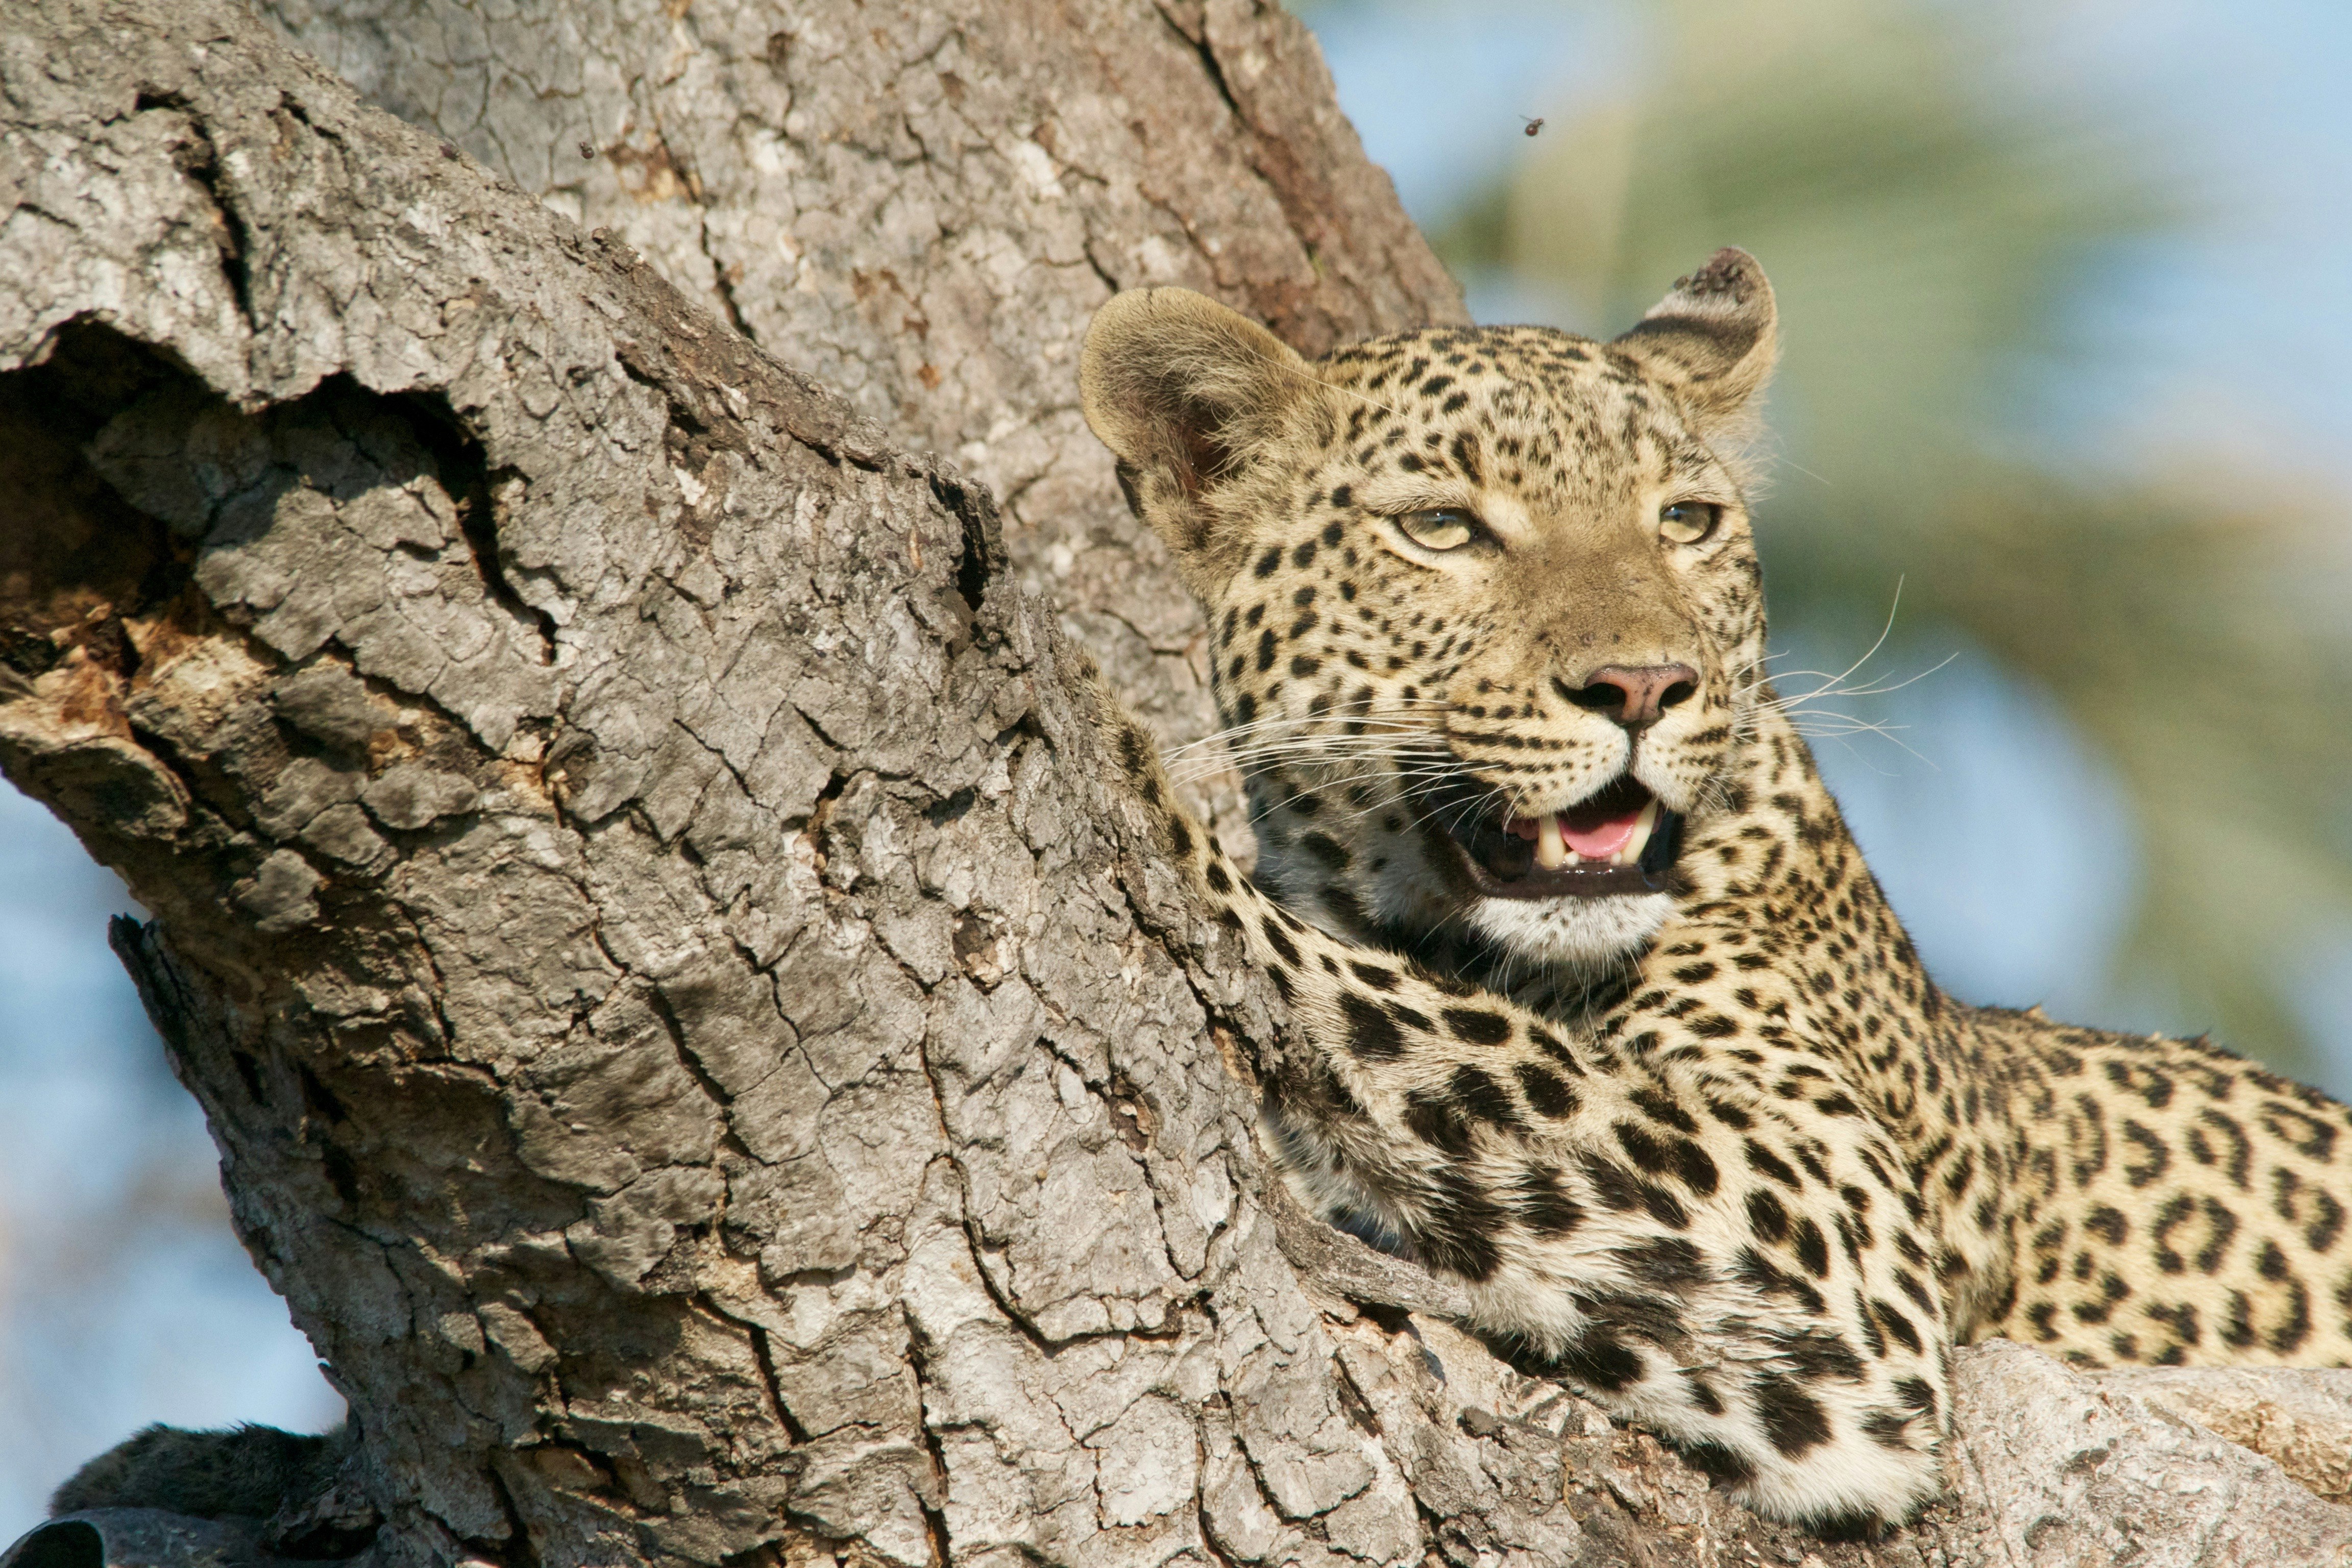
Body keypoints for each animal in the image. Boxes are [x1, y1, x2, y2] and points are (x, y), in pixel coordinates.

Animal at [1077, 255, 2352, 1532]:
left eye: (1684, 521)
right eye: (1441, 527)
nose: (1643, 686)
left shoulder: (1840, 1250)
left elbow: (1418, 1014)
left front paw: (1106, 739)